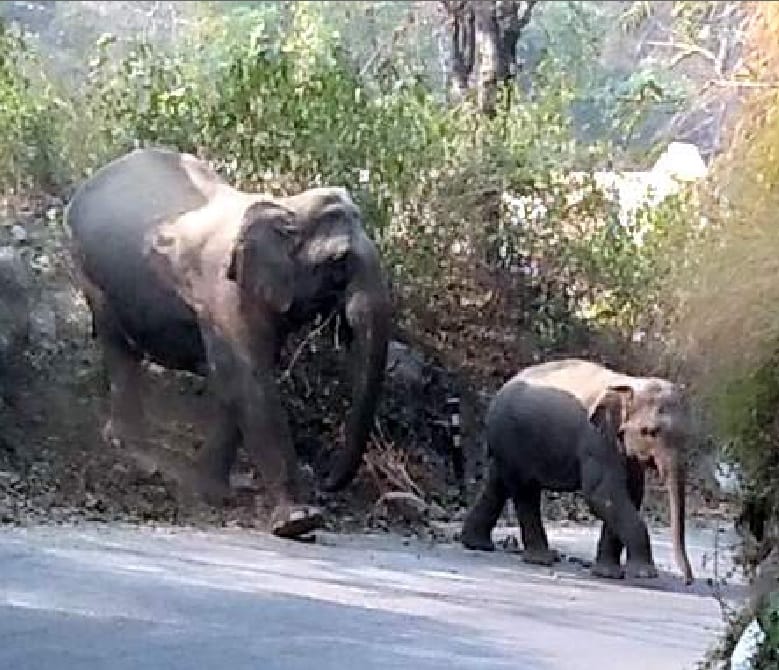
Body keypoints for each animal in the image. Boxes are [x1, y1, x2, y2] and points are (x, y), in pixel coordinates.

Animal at [65, 147, 391, 540]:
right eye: (339, 263)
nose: (326, 480)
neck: (286, 207)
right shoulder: (222, 292)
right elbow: (249, 381)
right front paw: (299, 521)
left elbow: (236, 382)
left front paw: (212, 492)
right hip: (89, 268)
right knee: (118, 346)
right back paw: (132, 448)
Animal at [461, 377, 660, 580]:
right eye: (648, 431)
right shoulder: (597, 442)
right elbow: (602, 494)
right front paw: (644, 574)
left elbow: (630, 494)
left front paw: (608, 574)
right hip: (511, 440)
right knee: (525, 490)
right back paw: (541, 559)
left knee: (498, 483)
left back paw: (478, 544)